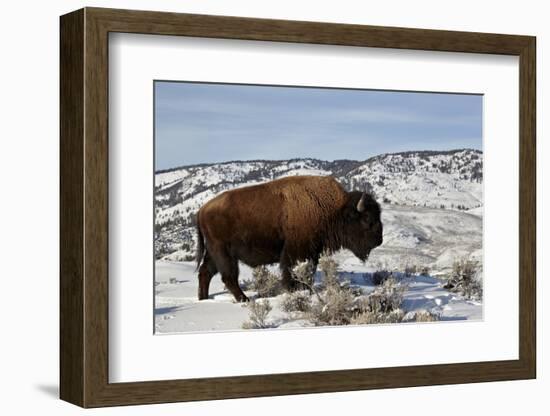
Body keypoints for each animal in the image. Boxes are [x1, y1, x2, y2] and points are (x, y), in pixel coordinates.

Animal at [197, 176, 384, 302]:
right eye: (367, 219)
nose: (379, 240)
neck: (333, 209)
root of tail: (202, 210)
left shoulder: (312, 252)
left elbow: (308, 272)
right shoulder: (296, 251)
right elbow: (292, 272)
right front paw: (294, 291)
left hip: (214, 252)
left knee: (205, 272)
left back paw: (204, 298)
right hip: (224, 253)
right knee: (228, 277)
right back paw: (245, 300)